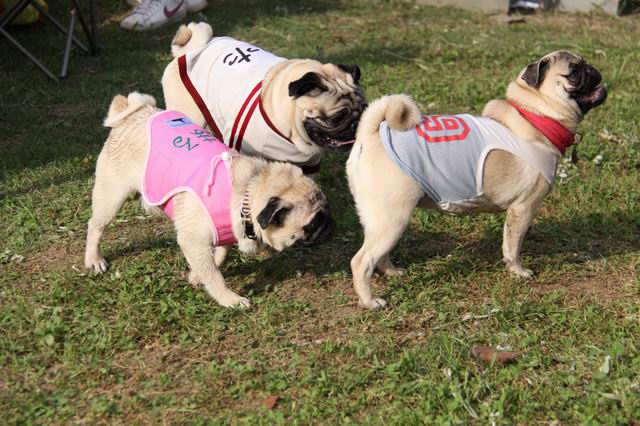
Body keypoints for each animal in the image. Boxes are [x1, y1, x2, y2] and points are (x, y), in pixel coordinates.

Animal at [84, 93, 335, 308]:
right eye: (313, 222)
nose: (329, 225)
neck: (247, 191)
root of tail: (131, 113)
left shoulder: (225, 231)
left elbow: (218, 257)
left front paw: (197, 275)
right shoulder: (192, 242)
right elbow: (214, 275)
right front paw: (229, 299)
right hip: (111, 197)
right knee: (95, 226)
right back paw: (94, 259)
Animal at [347, 50, 607, 309]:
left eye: (584, 64)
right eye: (574, 72)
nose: (593, 70)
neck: (537, 116)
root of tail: (369, 135)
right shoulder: (522, 207)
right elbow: (512, 244)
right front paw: (518, 271)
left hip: (385, 221)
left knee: (379, 255)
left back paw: (391, 272)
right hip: (392, 218)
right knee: (361, 262)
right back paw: (370, 302)